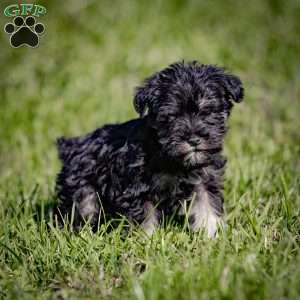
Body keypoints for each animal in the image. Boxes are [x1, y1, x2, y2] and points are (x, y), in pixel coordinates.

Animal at [55, 61, 244, 237]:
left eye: (207, 112)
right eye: (172, 116)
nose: (193, 139)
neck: (172, 158)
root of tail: (71, 146)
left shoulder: (205, 180)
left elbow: (207, 207)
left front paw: (212, 235)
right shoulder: (139, 188)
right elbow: (145, 218)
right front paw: (146, 241)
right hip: (83, 192)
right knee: (80, 213)